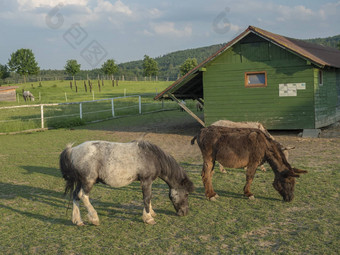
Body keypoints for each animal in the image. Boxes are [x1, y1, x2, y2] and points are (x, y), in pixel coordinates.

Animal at [58, 140, 194, 226]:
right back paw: (94, 218)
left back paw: (78, 221)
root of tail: (72, 150)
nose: (185, 212)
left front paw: (151, 213)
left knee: (75, 196)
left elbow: (149, 197)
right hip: (88, 181)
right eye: (187, 194)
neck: (152, 156)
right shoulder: (146, 181)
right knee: (83, 196)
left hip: (81, 181)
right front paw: (148, 218)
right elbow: (147, 198)